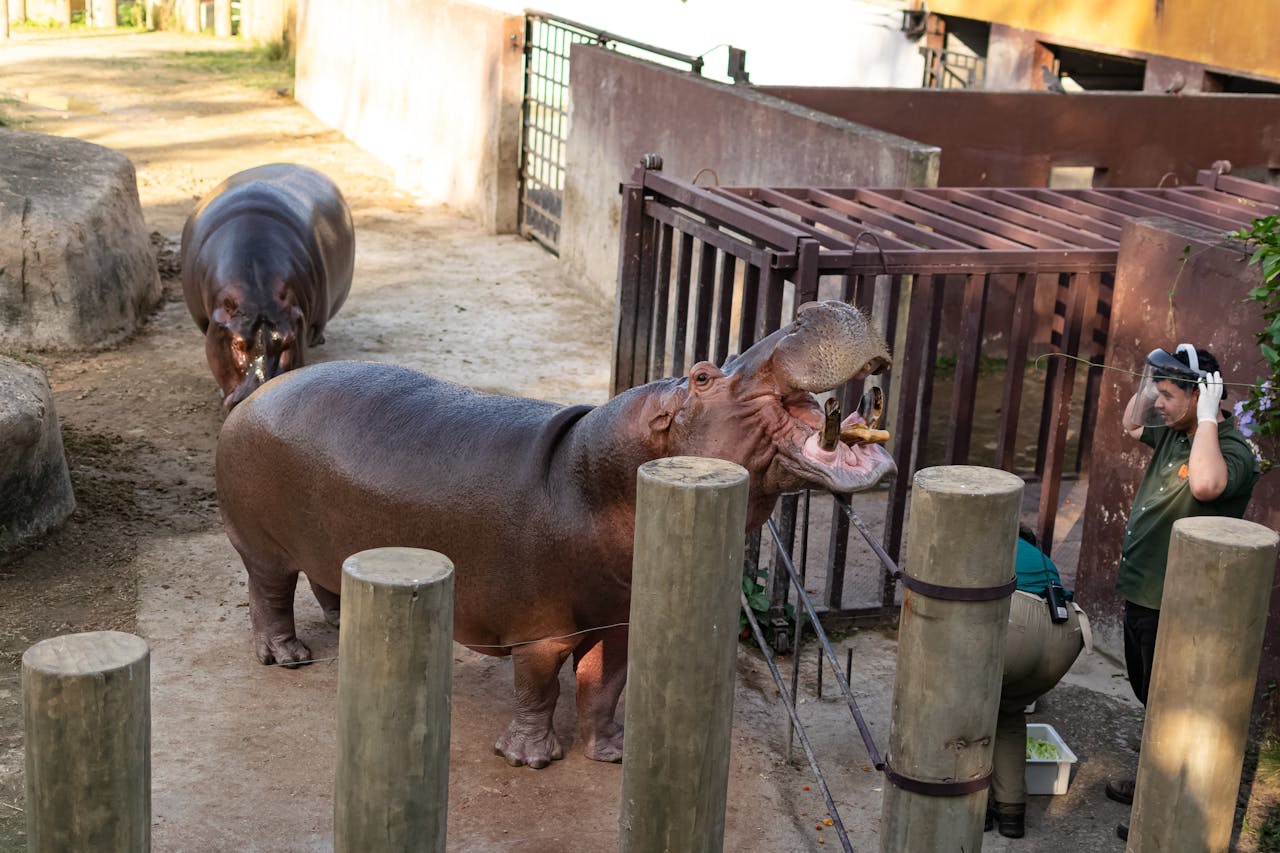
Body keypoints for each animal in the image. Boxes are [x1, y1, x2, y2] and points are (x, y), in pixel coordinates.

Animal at [215, 301, 895, 768]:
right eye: (702, 375)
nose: (818, 308)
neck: (592, 476)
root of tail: (252, 396)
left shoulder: (620, 619)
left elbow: (605, 687)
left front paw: (612, 753)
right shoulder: (540, 627)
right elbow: (537, 689)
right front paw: (529, 759)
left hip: (328, 543)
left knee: (324, 579)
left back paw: (342, 621)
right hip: (262, 549)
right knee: (268, 596)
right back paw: (289, 656)